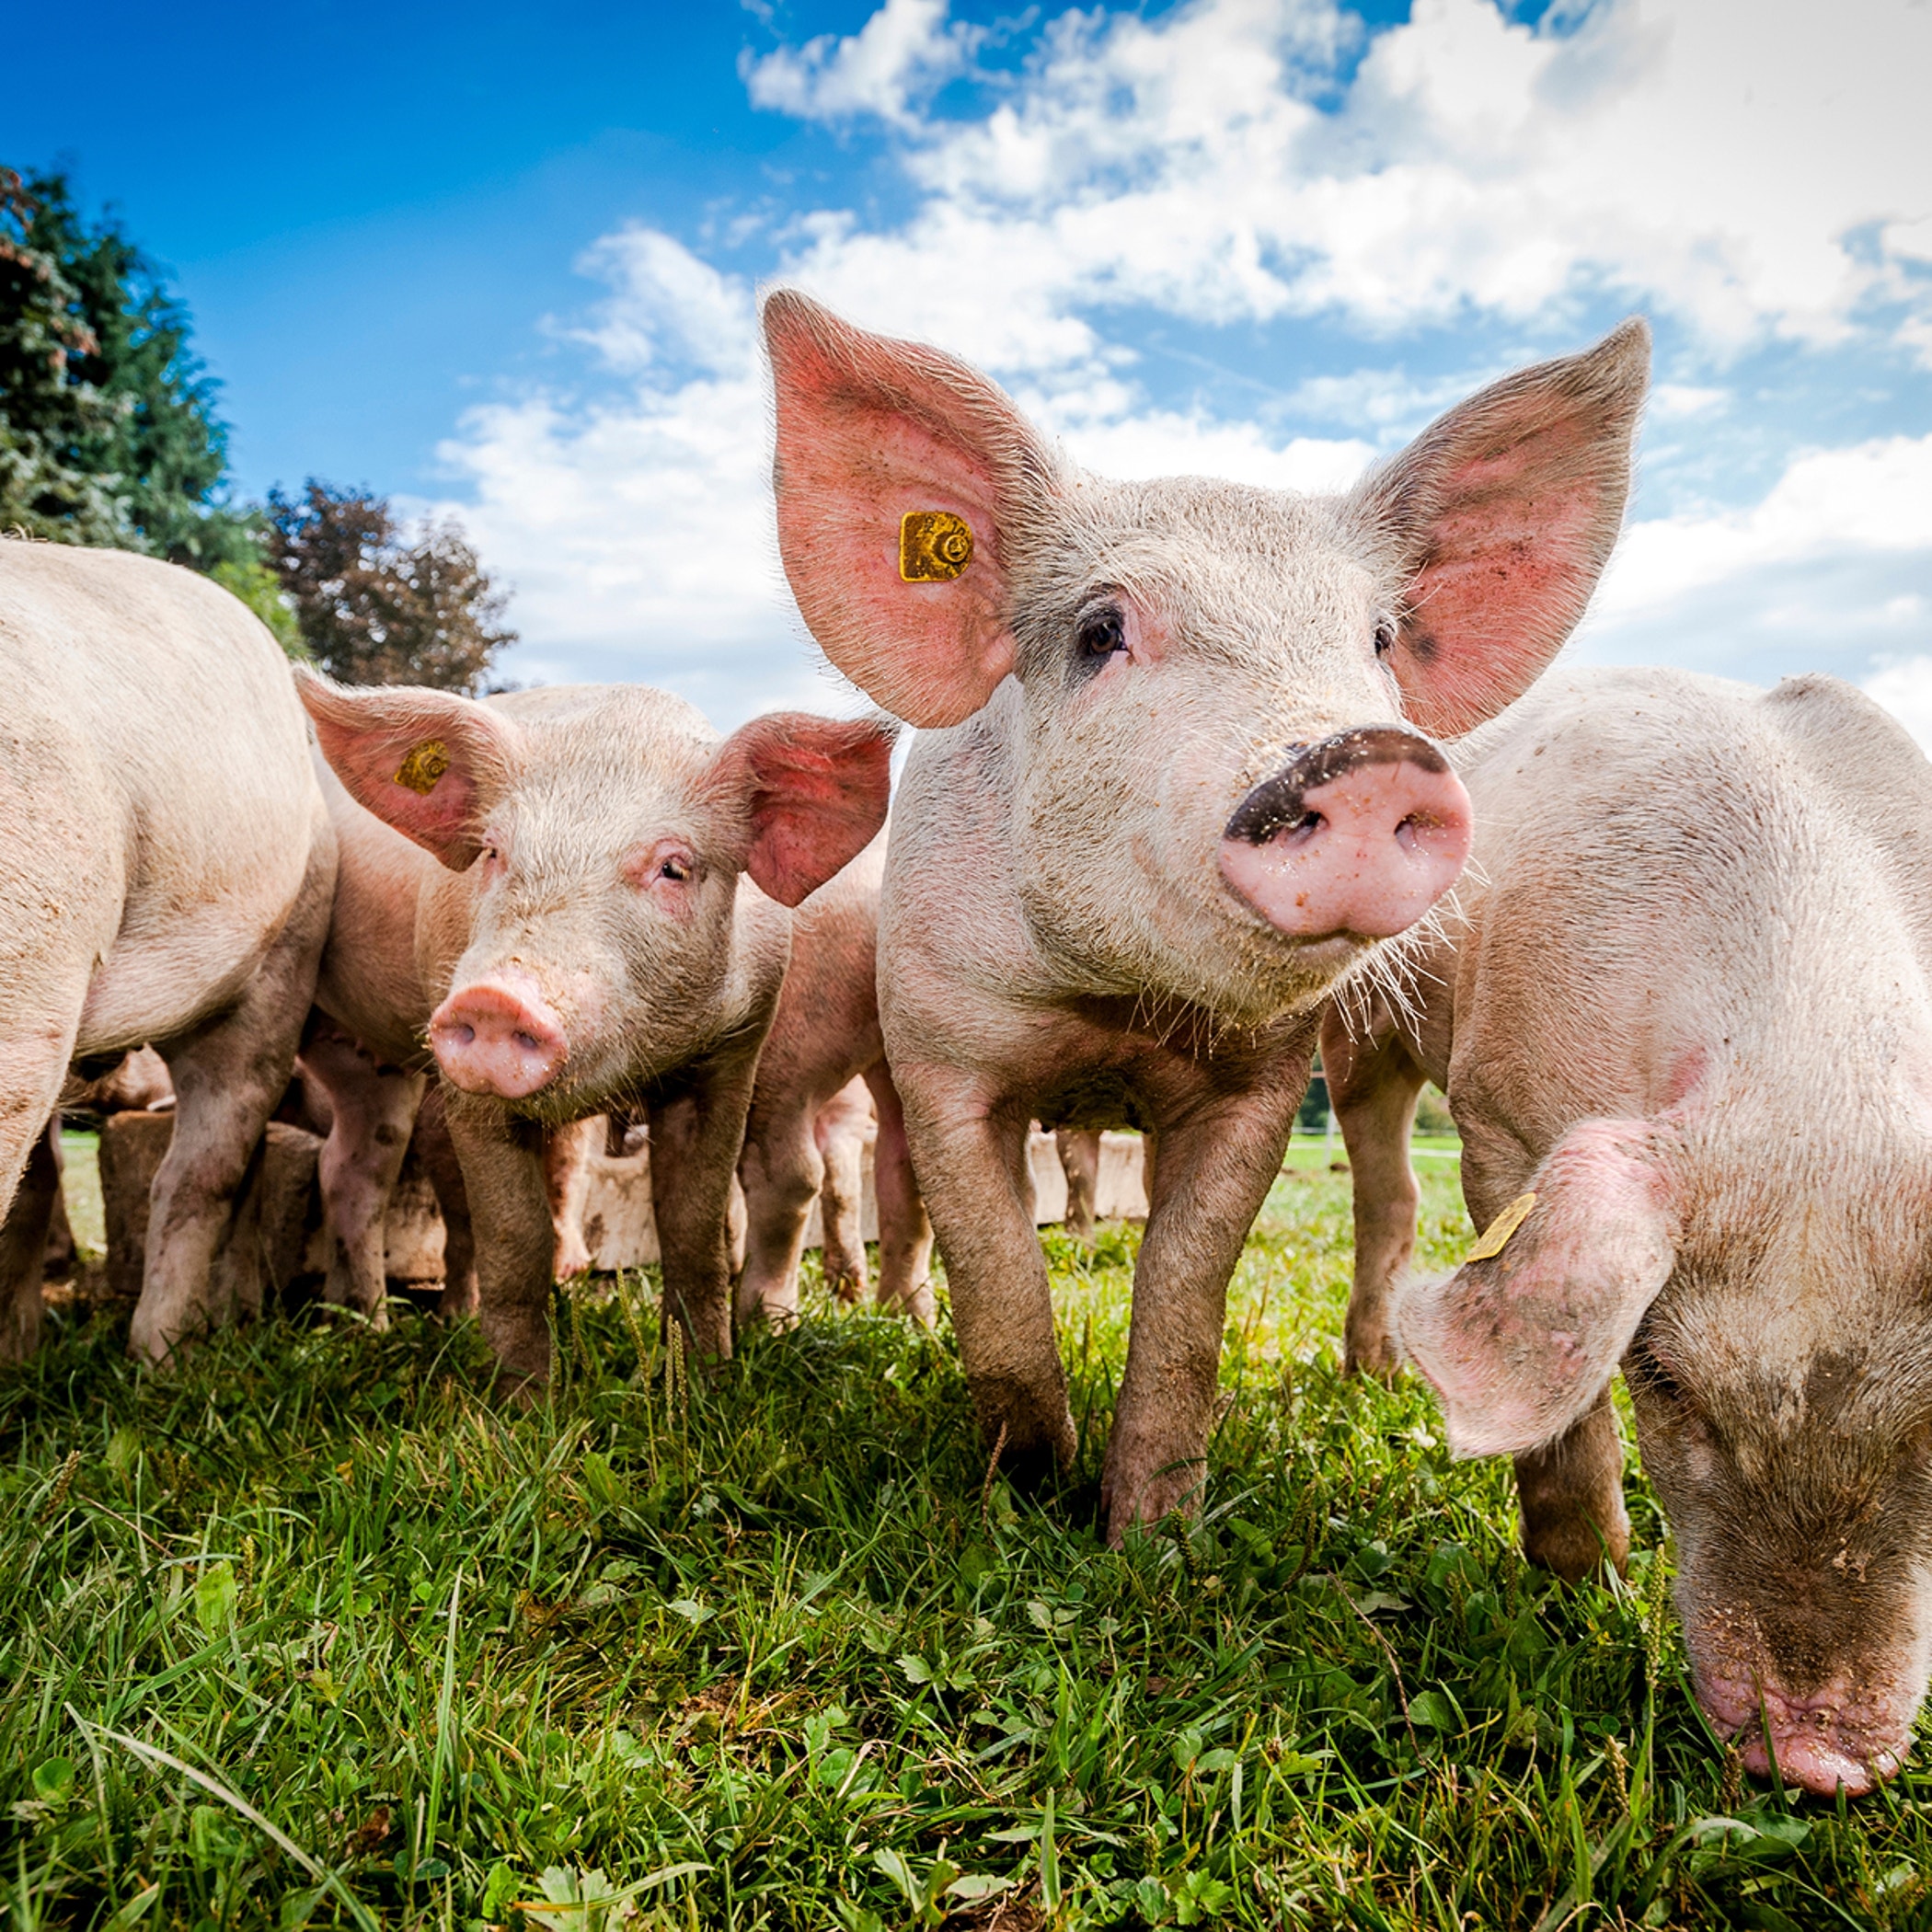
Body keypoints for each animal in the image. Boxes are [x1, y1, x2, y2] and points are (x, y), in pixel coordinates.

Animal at [294, 674, 892, 1382]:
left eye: (673, 867)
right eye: (493, 850)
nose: (496, 999)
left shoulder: (734, 1053)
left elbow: (695, 1227)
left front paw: (704, 1380)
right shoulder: (461, 1063)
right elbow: (512, 1235)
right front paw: (523, 1395)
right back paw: (384, 1327)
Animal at [761, 291, 1648, 1541]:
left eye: (1379, 639)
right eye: (1099, 631)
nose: (1366, 755)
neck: (1115, 1010)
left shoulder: (1267, 1083)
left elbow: (1186, 1289)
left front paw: (1154, 1532)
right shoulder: (940, 1044)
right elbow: (997, 1272)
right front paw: (1024, 1497)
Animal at [1325, 665, 1932, 1797]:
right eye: (1664, 1379)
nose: (1812, 1759)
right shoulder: (1498, 1115)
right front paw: (1590, 1597)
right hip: (1360, 1026)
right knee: (1386, 1187)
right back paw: (1372, 1374)